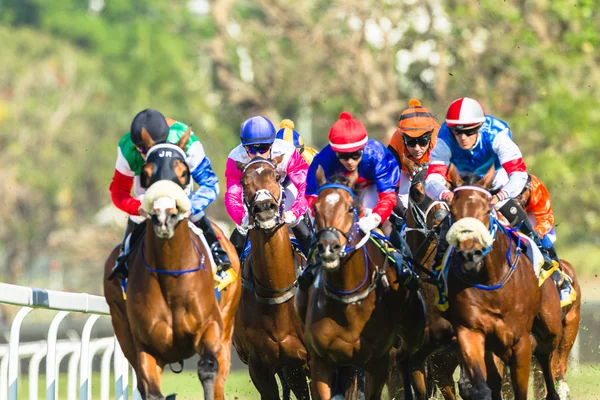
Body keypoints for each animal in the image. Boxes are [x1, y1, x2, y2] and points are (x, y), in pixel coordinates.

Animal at [105, 130, 241, 396]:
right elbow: (151, 390)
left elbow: (208, 369)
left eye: (184, 172)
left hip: (228, 320)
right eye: (146, 173)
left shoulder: (211, 327)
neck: (171, 276)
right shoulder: (146, 347)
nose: (163, 217)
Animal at [298, 169, 424, 400]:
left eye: (350, 208)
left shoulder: (378, 362)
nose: (328, 247)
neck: (348, 298)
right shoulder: (322, 362)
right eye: (315, 208)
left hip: (414, 330)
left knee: (407, 358)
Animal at [448, 169, 564, 400]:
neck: (491, 282)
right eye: (453, 212)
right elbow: (483, 385)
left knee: (545, 355)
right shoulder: (470, 330)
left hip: (550, 324)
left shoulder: (521, 341)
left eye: (486, 211)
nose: (469, 255)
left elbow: (520, 389)